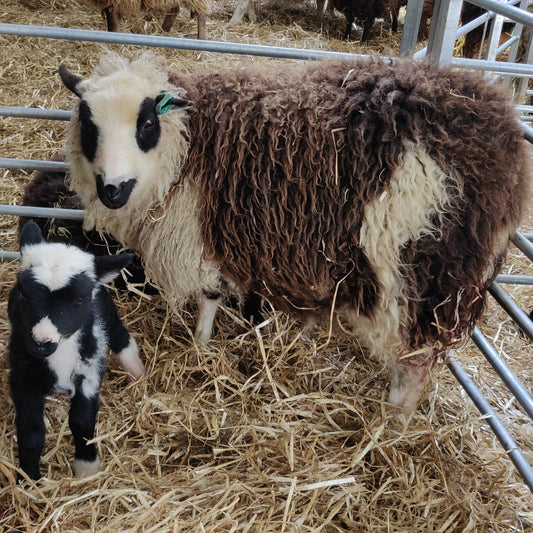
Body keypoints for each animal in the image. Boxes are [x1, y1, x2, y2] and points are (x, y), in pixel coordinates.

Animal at [8, 219, 145, 478]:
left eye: (79, 300)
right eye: (22, 293)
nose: (41, 342)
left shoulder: (88, 370)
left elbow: (82, 420)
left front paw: (86, 467)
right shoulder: (23, 374)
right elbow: (30, 431)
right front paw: (29, 477)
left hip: (107, 313)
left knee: (121, 337)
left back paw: (137, 372)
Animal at [59, 53, 532, 408]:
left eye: (146, 124)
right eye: (89, 126)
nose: (112, 190)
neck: (187, 146)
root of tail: (504, 143)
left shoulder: (202, 237)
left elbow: (209, 296)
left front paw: (201, 342)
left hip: (420, 270)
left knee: (416, 358)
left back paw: (391, 424)